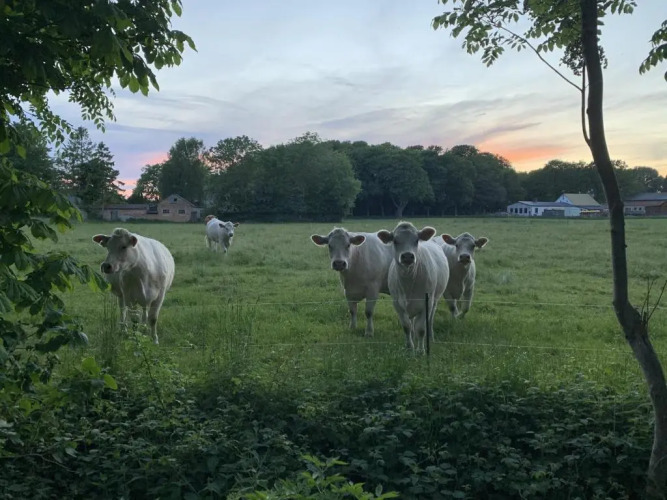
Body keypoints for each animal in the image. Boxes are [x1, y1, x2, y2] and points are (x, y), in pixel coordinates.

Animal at [377, 222, 449, 353]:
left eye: (416, 240)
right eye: (395, 240)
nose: (407, 256)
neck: (409, 282)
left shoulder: (427, 303)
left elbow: (421, 329)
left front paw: (420, 351)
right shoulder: (397, 304)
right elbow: (406, 326)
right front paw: (410, 347)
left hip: (435, 300)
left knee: (430, 320)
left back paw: (430, 336)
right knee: (412, 323)